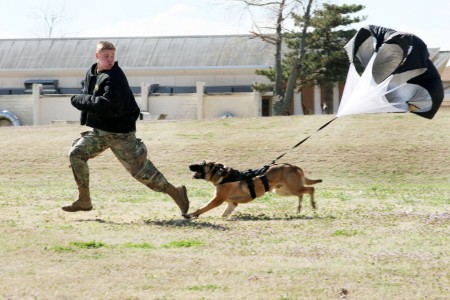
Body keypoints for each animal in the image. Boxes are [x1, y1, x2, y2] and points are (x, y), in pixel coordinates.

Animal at [185, 162, 320, 218]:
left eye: (202, 164)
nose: (189, 165)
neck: (223, 176)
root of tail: (293, 166)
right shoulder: (232, 204)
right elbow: (224, 214)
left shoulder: (217, 200)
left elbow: (202, 208)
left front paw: (191, 214)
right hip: (283, 191)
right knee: (302, 194)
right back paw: (299, 208)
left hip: (292, 188)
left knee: (311, 189)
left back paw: (313, 206)